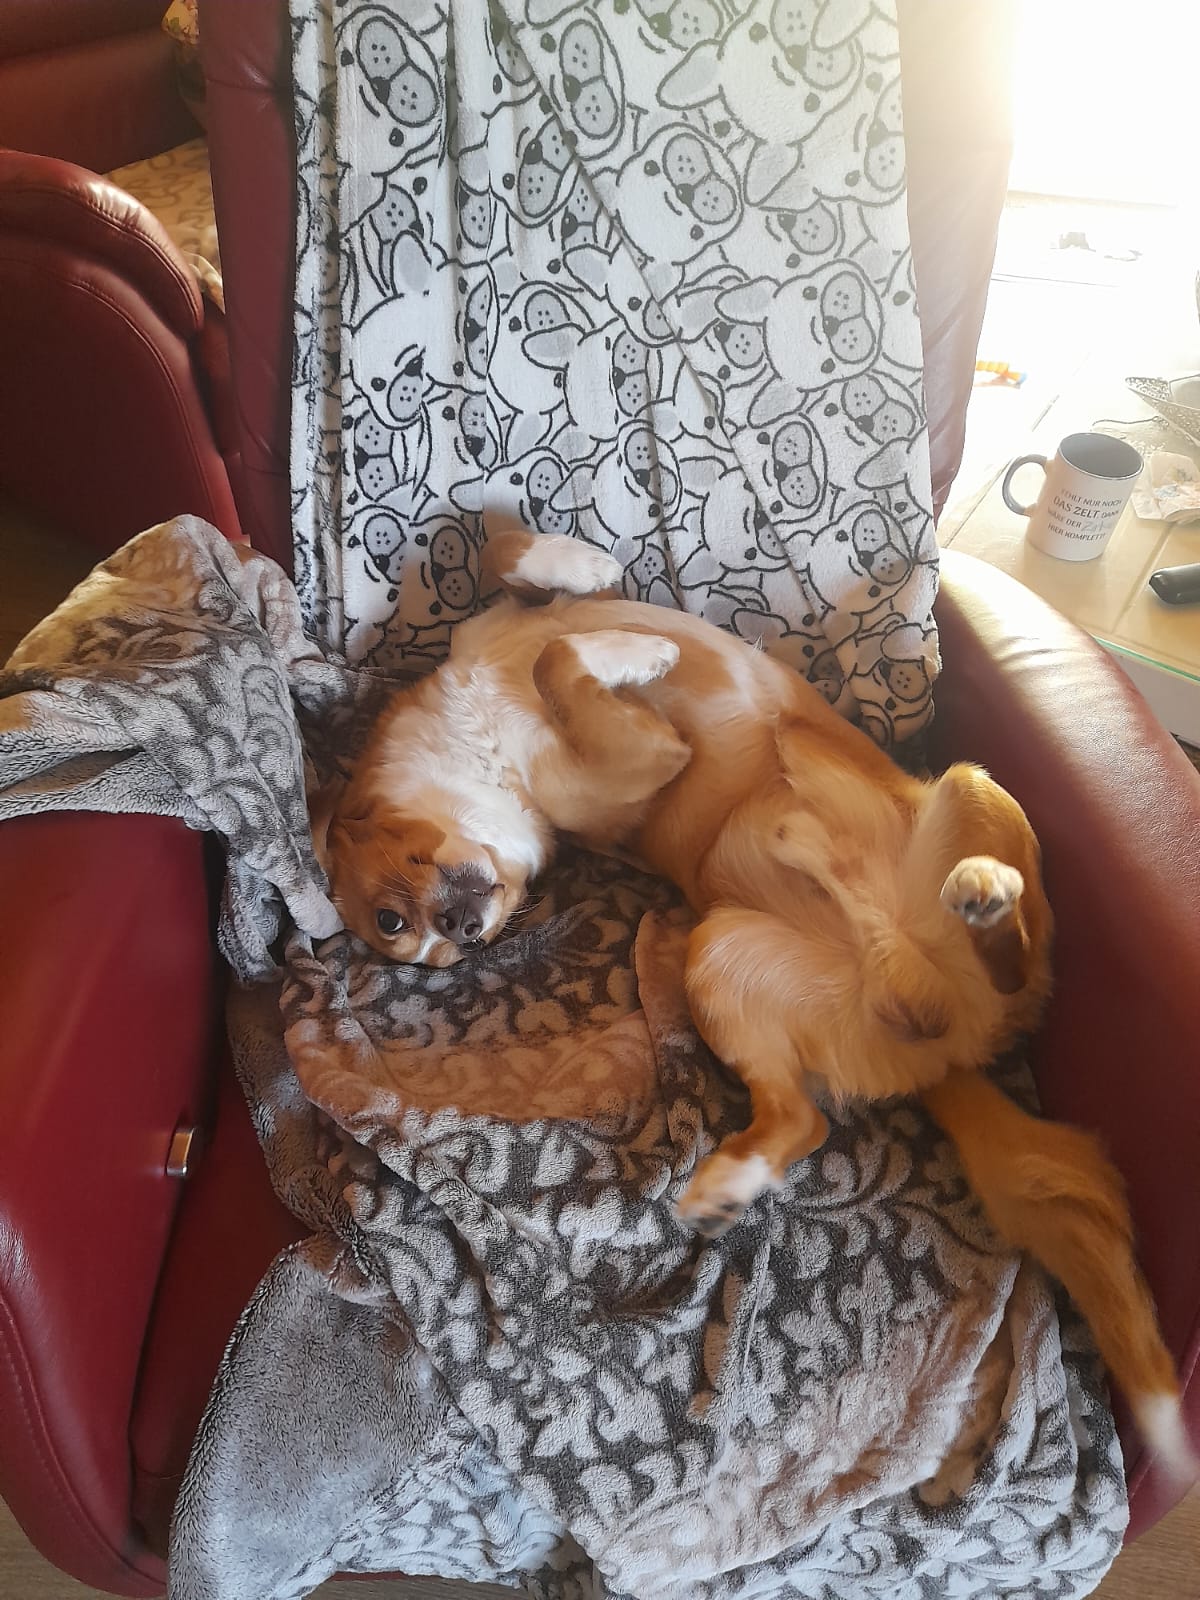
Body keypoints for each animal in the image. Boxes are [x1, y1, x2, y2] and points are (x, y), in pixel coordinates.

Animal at [316, 528, 1195, 1480]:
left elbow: (517, 570)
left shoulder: (499, 636)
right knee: (813, 1110)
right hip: (725, 951)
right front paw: (634, 653)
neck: (487, 749)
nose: (466, 933)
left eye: (394, 920)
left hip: (962, 793)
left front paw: (592, 585)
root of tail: (939, 1046)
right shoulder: (640, 762)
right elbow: (559, 661)